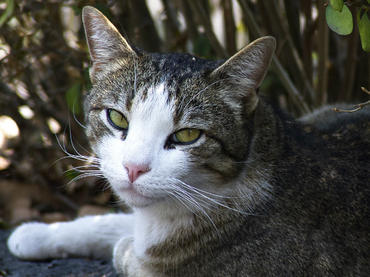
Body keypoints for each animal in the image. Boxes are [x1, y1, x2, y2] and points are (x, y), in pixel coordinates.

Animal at [7, 4, 368, 276]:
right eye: (117, 118)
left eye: (187, 135)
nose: (134, 168)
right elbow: (117, 222)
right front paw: (38, 232)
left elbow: (139, 258)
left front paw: (128, 251)